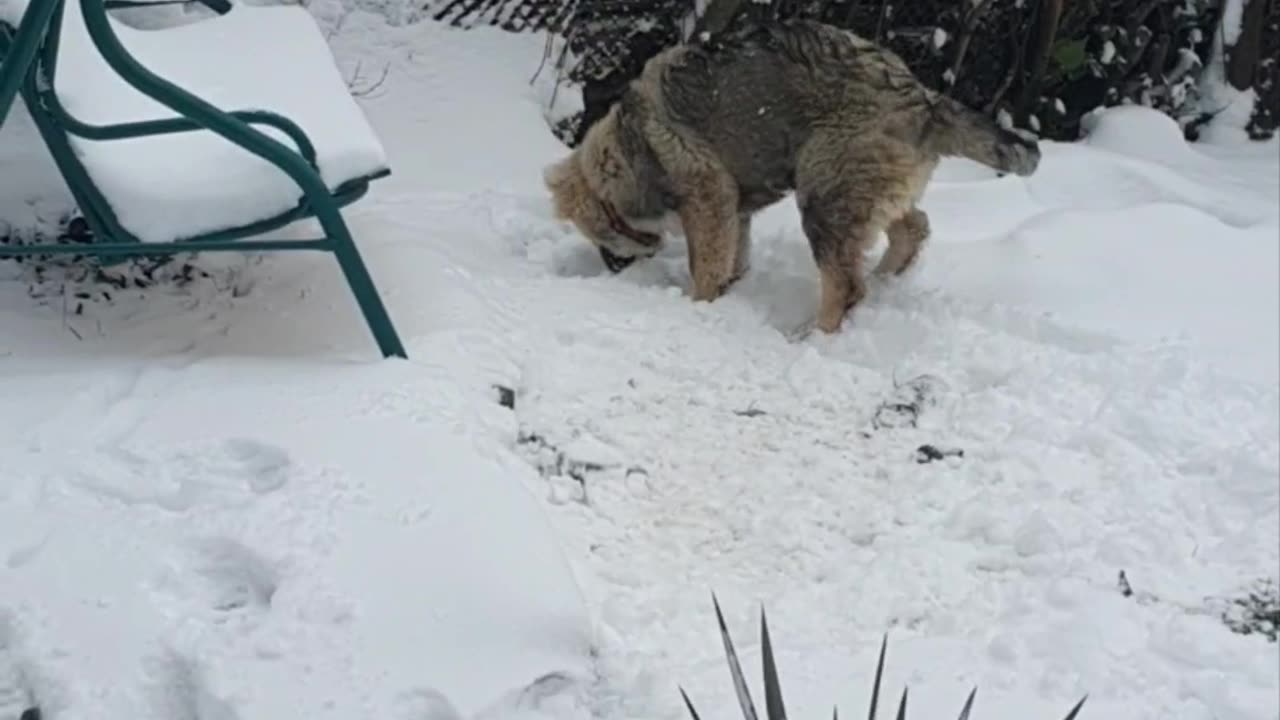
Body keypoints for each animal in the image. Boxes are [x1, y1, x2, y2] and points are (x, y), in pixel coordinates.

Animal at [540, 17, 1039, 330]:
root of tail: (922, 100)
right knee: (913, 227)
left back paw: (812, 334)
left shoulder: (707, 198)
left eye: (598, 233)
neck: (628, 147)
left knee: (845, 284)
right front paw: (728, 290)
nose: (612, 270)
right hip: (864, 187)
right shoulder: (734, 212)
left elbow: (705, 265)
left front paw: (698, 305)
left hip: (824, 193)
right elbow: (733, 259)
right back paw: (887, 278)